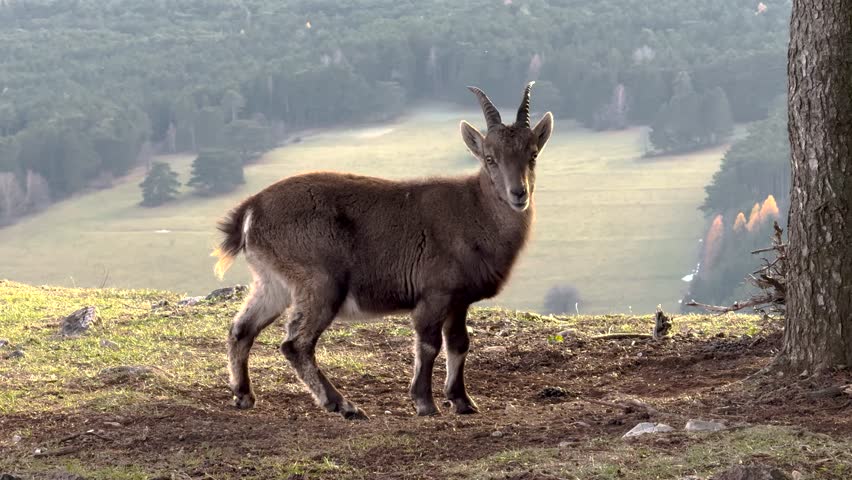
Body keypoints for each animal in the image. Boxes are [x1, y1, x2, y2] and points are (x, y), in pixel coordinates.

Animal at [213, 82, 554, 419]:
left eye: (533, 154)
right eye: (489, 158)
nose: (518, 193)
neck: (474, 211)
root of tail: (251, 209)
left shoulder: (458, 300)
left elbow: (459, 343)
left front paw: (463, 401)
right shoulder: (434, 294)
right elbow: (429, 345)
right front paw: (424, 402)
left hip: (273, 282)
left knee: (241, 329)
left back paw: (243, 395)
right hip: (319, 281)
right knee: (295, 344)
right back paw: (342, 404)